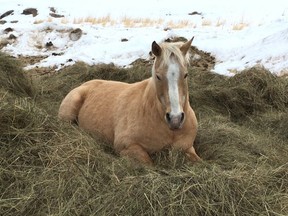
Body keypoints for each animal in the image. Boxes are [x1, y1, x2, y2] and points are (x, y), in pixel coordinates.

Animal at [58, 37, 200, 165]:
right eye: (158, 76)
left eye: (186, 74)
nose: (175, 119)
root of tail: (85, 84)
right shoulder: (127, 146)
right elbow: (149, 164)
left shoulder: (187, 147)